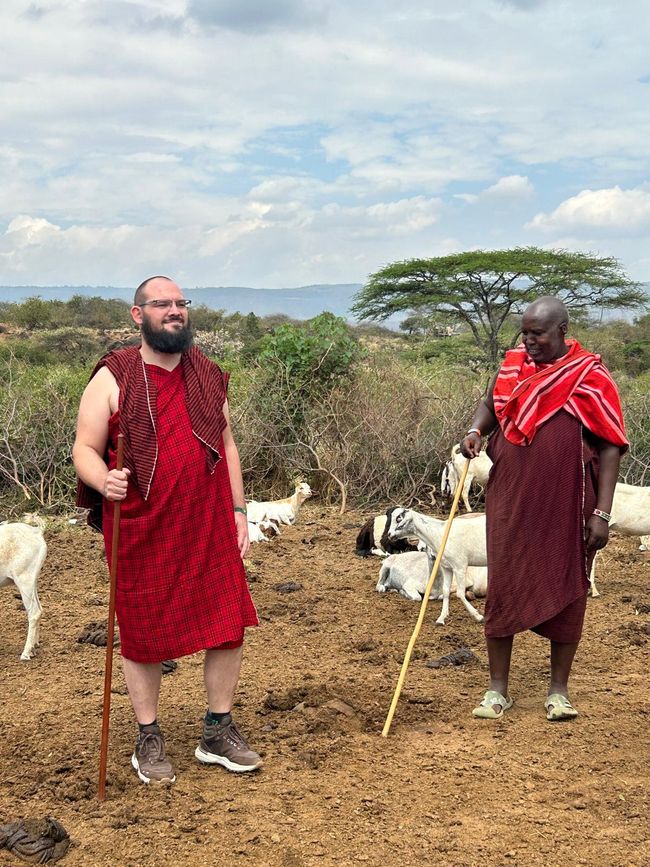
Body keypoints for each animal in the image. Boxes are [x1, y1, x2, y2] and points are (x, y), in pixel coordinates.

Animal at [0, 520, 46, 660]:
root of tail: (36, 531)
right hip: (32, 582)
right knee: (39, 608)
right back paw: (34, 646)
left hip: (24, 580)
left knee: (34, 612)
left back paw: (26, 653)